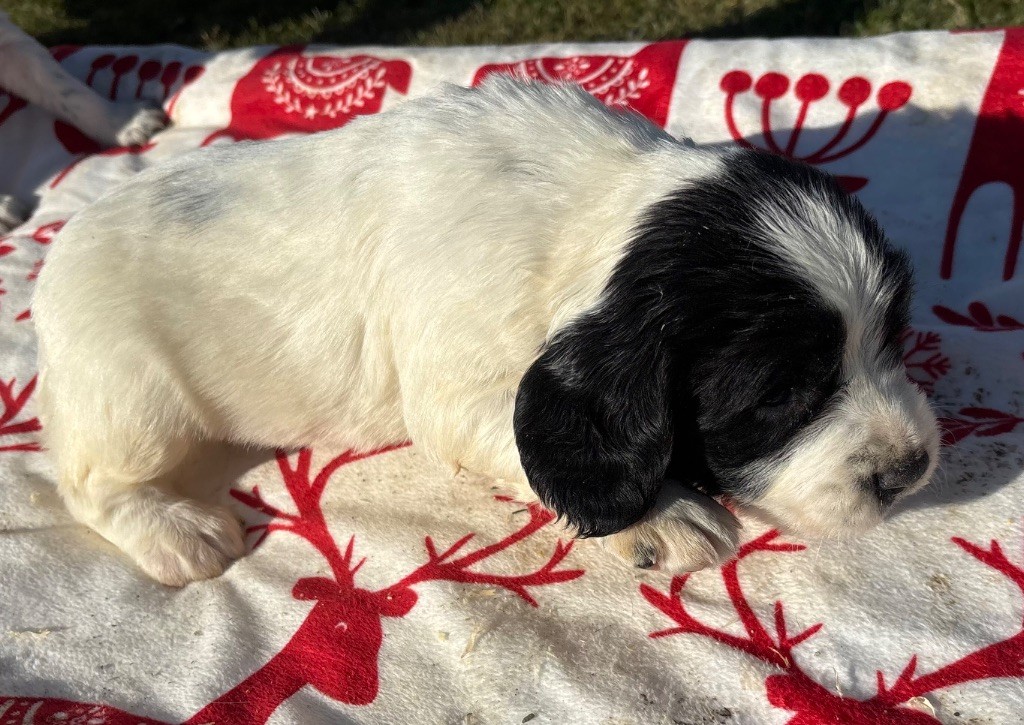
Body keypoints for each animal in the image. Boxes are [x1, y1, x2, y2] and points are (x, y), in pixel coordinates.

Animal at [34, 76, 937, 585]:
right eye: (782, 396)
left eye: (892, 337)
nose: (911, 468)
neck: (602, 210)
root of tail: (51, 261)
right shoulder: (460, 380)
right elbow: (515, 438)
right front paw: (667, 515)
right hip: (132, 393)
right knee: (88, 480)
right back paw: (177, 530)